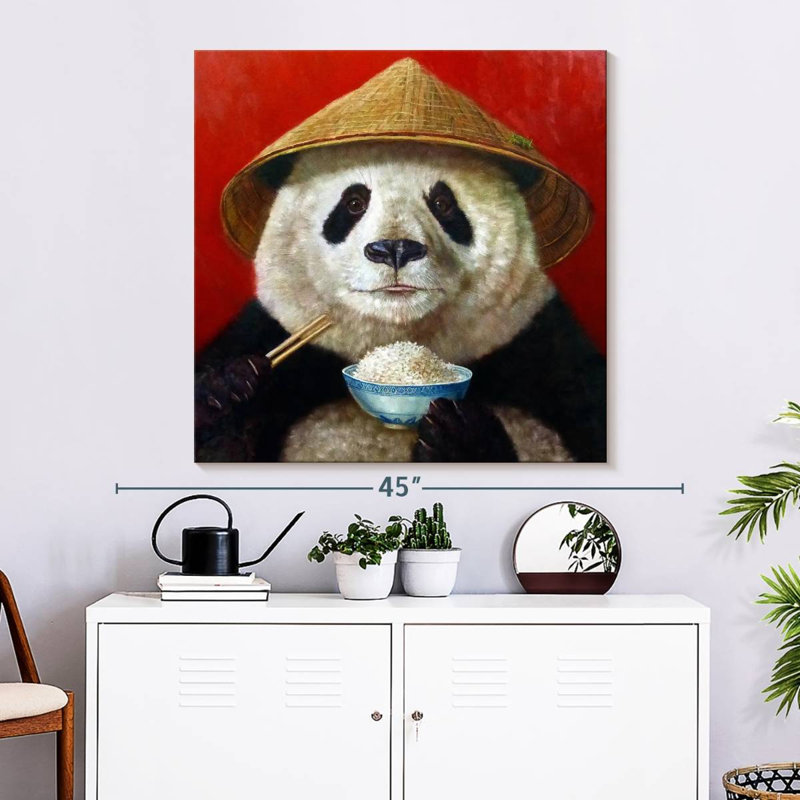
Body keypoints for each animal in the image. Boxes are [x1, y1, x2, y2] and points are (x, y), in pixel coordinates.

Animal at [195, 140, 606, 463]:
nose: (394, 249)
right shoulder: (270, 330)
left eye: (443, 202)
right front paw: (230, 392)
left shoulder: (543, 347)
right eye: (354, 202)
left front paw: (458, 435)